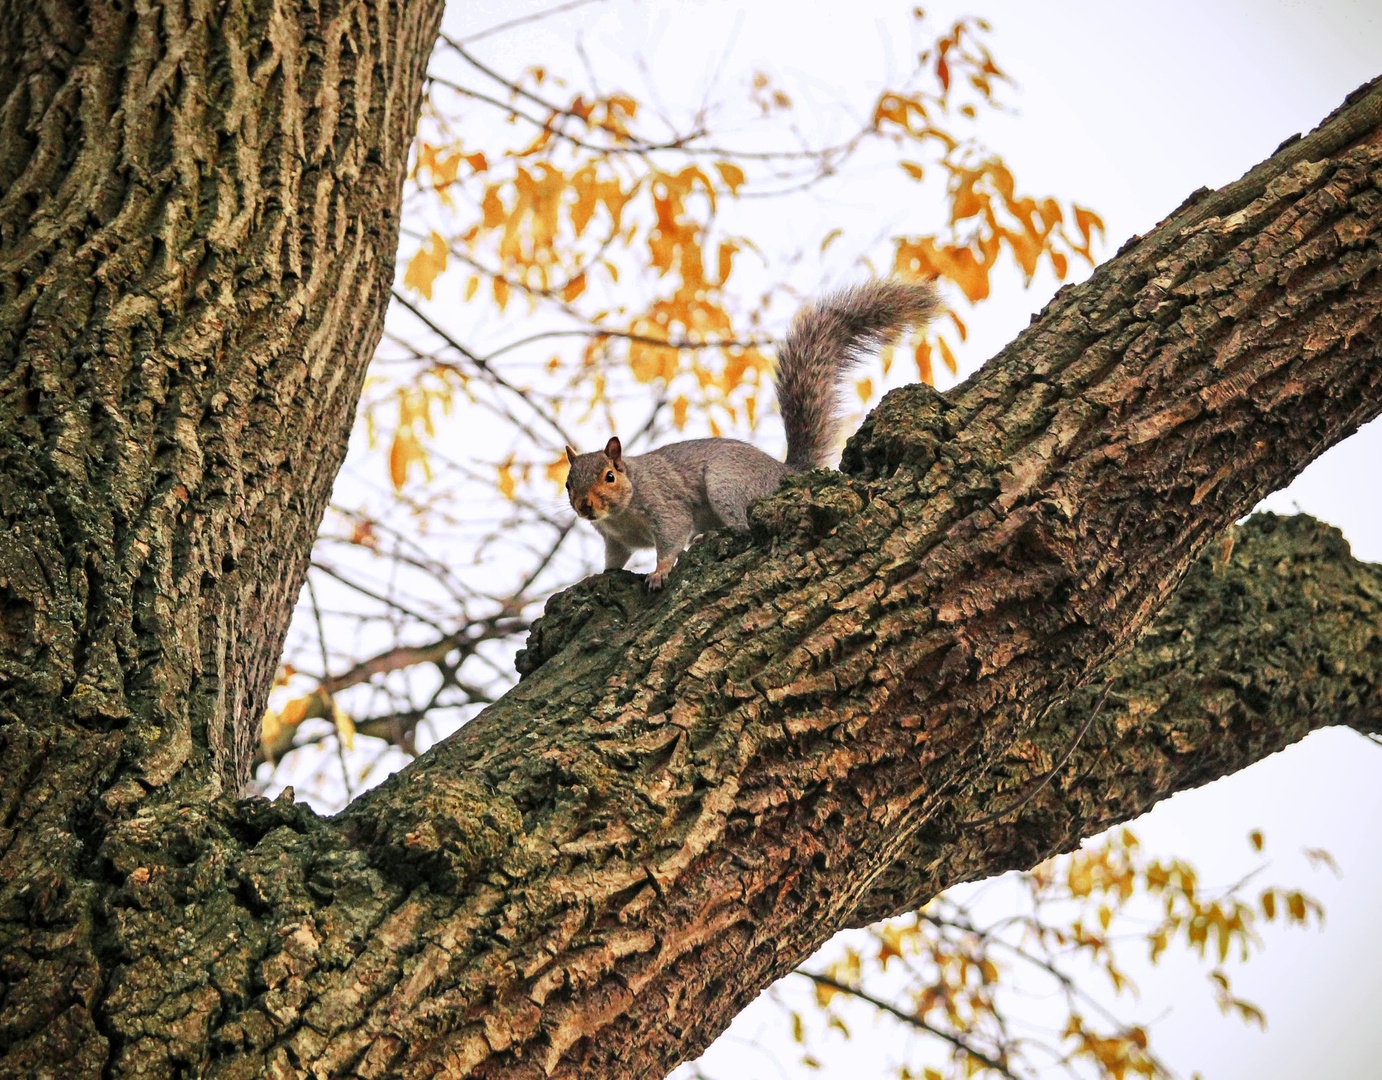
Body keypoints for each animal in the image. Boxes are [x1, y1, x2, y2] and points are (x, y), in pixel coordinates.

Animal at [564, 279, 942, 589]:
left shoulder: (664, 505)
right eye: (568, 483)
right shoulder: (614, 539)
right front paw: (600, 575)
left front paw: (659, 571)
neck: (620, 513)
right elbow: (614, 560)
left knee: (742, 525)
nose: (584, 505)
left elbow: (672, 537)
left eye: (609, 476)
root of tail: (785, 472)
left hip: (728, 484)